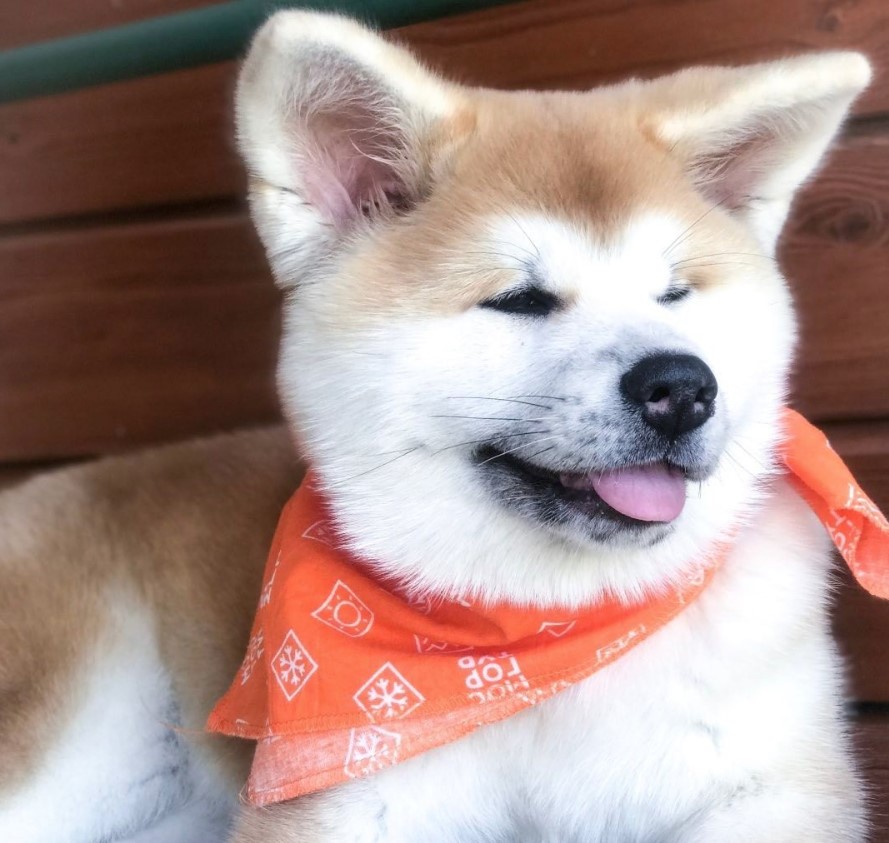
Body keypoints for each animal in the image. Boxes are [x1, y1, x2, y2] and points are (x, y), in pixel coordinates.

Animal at [0, 11, 876, 843]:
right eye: (519, 299)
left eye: (674, 294)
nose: (682, 386)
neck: (540, 639)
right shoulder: (337, 793)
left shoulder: (779, 787)